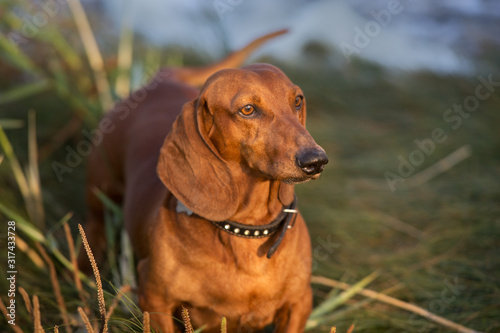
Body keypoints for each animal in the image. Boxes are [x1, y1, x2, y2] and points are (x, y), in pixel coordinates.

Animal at [79, 29, 328, 330]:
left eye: (297, 100)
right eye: (248, 109)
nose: (315, 160)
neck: (246, 229)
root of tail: (162, 78)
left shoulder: (299, 304)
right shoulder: (154, 299)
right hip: (100, 195)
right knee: (94, 229)